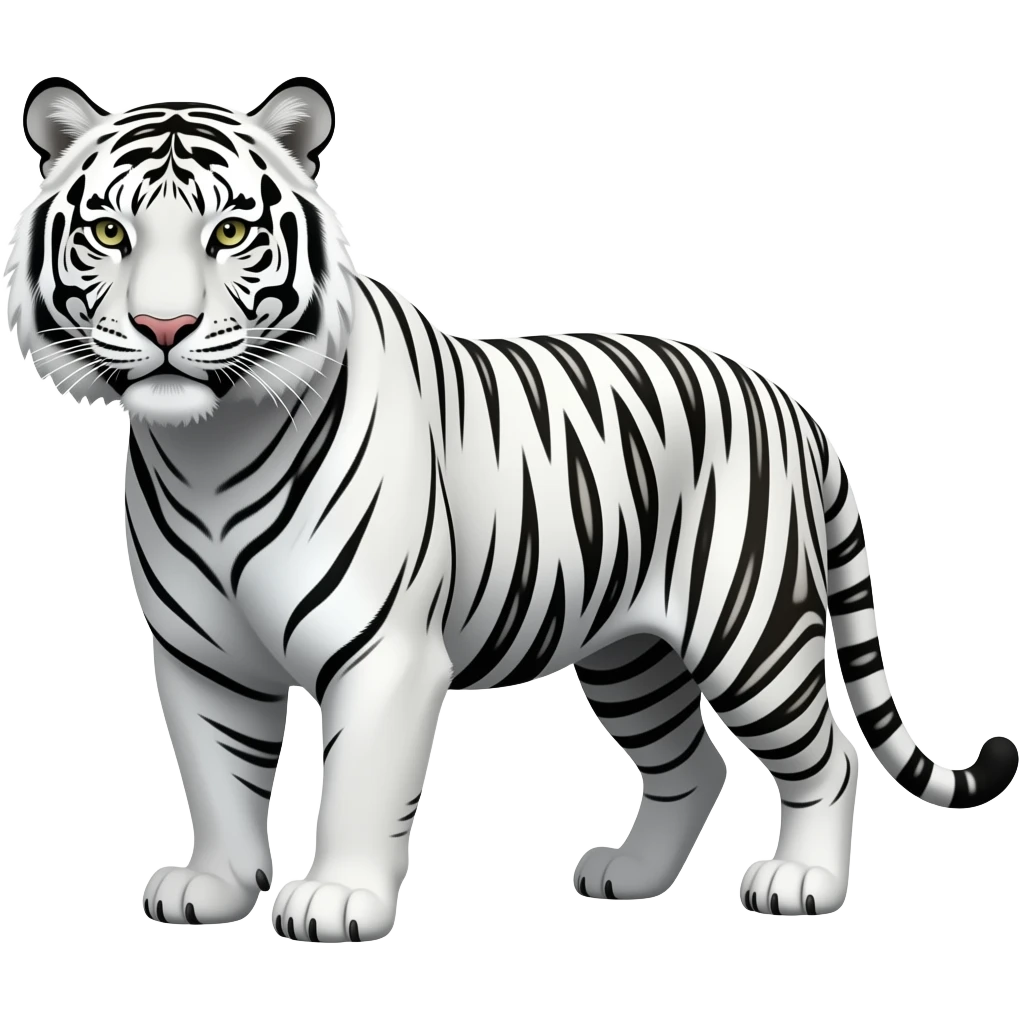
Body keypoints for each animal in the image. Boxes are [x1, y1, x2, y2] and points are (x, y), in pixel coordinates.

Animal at [7, 73, 1017, 942]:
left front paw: (335, 901)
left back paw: (802, 884)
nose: (163, 329)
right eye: (109, 232)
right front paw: (211, 890)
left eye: (225, 235)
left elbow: (360, 783)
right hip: (630, 654)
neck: (207, 447)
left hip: (753, 630)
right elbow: (218, 774)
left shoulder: (384, 652)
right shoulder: (200, 655)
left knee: (827, 756)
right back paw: (629, 878)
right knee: (692, 763)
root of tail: (785, 397)